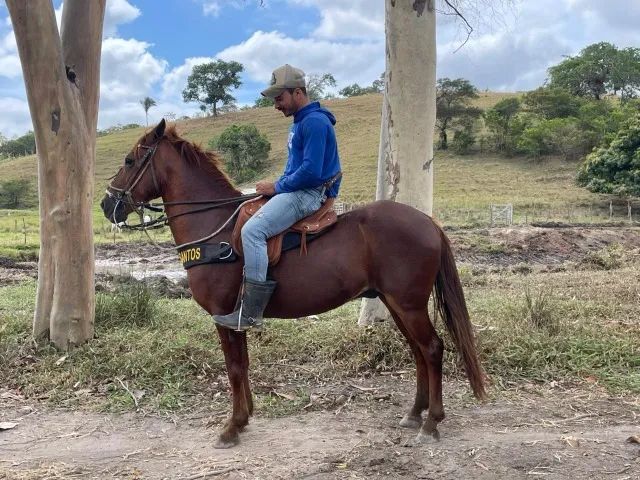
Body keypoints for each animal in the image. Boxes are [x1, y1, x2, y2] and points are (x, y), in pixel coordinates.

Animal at [100, 119, 486, 448]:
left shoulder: (224, 315)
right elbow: (243, 365)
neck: (215, 228)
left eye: (130, 159)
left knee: (432, 349)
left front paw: (231, 426)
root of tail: (429, 222)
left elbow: (234, 368)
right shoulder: (235, 317)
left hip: (408, 304)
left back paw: (431, 423)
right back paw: (414, 414)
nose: (107, 204)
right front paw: (244, 418)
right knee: (419, 352)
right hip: (396, 304)